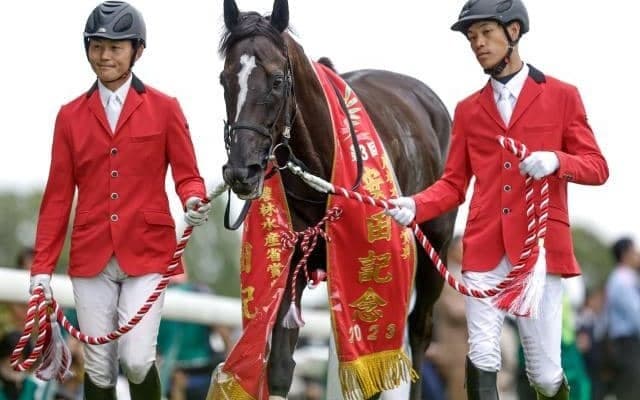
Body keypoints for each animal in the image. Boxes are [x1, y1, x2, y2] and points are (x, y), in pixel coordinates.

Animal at [219, 0, 456, 399]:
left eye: (277, 81)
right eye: (224, 79)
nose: (241, 170)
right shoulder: (295, 257)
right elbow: (280, 365)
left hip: (435, 245)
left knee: (420, 328)